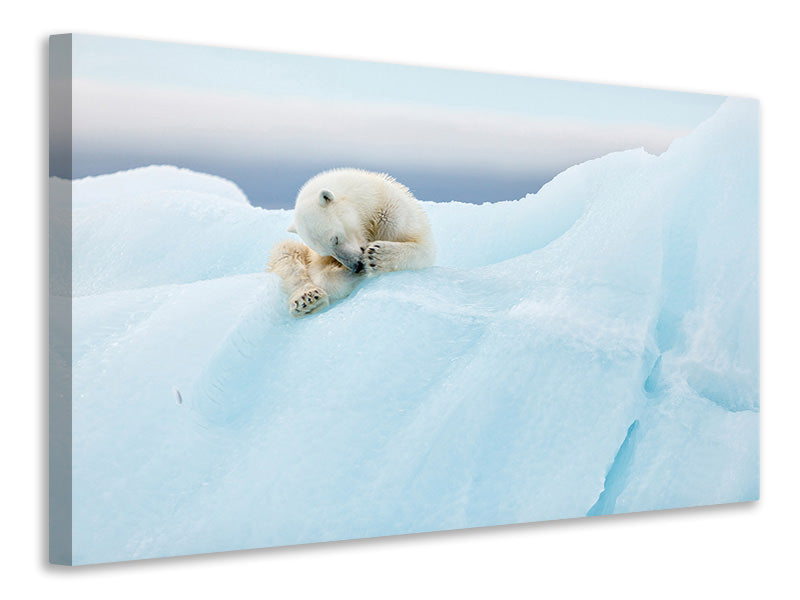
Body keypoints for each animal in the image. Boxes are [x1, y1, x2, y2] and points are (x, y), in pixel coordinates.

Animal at [267, 168, 436, 317]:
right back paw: (307, 300)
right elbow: (320, 274)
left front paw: (377, 256)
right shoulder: (315, 257)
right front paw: (356, 273)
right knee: (286, 253)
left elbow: (424, 248)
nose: (357, 266)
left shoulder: (393, 214)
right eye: (326, 252)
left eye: (335, 238)